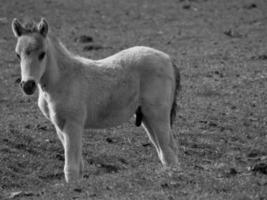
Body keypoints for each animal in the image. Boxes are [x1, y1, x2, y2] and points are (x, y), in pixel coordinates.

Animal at [11, 17, 181, 183]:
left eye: (42, 54)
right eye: (18, 55)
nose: (28, 85)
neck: (62, 80)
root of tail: (168, 59)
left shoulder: (73, 124)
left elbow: (71, 167)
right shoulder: (59, 125)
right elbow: (78, 165)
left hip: (157, 114)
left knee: (169, 150)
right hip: (146, 117)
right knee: (164, 151)